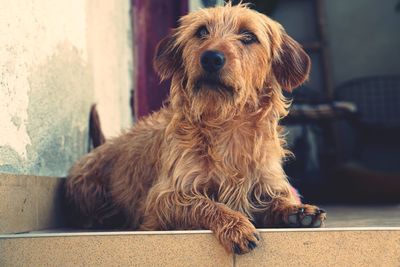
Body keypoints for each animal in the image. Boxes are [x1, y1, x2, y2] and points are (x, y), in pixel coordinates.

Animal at [65, 3, 324, 255]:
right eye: (201, 32)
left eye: (248, 36)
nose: (211, 58)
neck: (226, 126)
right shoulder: (164, 199)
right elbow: (206, 203)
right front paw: (236, 226)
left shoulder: (266, 183)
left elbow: (277, 199)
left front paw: (297, 211)